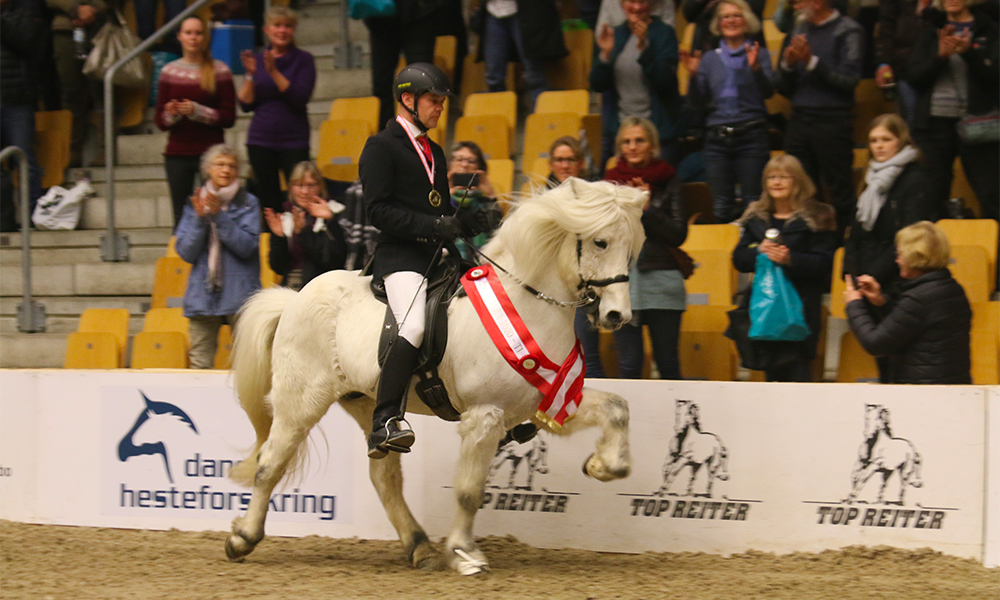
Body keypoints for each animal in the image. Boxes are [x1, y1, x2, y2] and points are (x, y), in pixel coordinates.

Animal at [225, 179, 648, 576]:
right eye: (600, 242)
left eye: (631, 248)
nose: (616, 317)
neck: (526, 304)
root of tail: (295, 297)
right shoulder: (484, 414)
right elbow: (468, 491)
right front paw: (464, 553)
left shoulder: (547, 400)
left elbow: (618, 408)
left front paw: (602, 466)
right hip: (301, 401)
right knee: (271, 462)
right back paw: (242, 538)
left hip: (370, 405)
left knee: (383, 476)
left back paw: (419, 547)